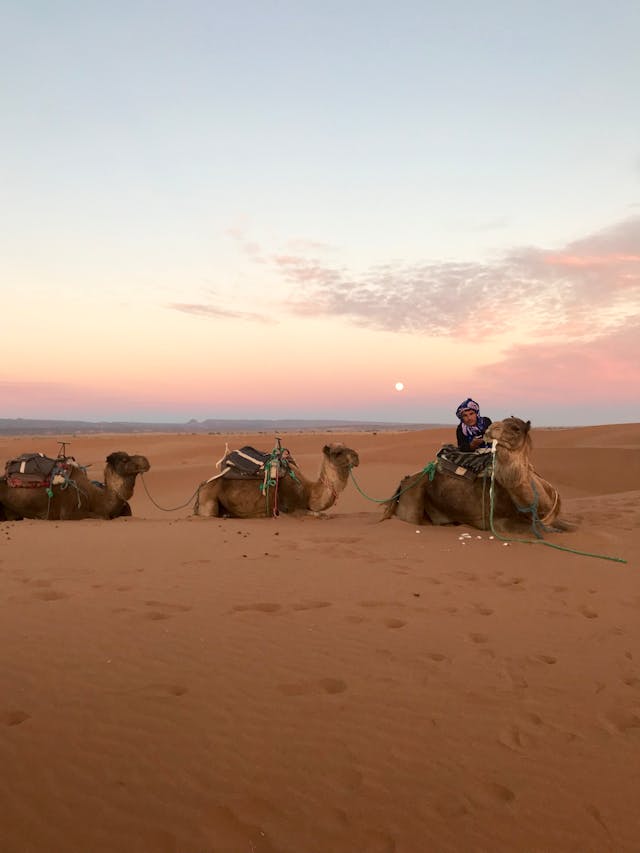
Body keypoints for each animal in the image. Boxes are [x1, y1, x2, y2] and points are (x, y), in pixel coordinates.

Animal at [192, 442, 362, 516]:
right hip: (209, 500)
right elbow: (319, 514)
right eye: (338, 453)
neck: (308, 492)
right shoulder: (289, 509)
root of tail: (202, 485)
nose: (356, 457)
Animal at [382, 418, 572, 536]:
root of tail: (404, 481)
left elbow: (569, 526)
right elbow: (539, 530)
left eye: (516, 428)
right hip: (413, 499)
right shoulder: (498, 522)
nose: (491, 428)